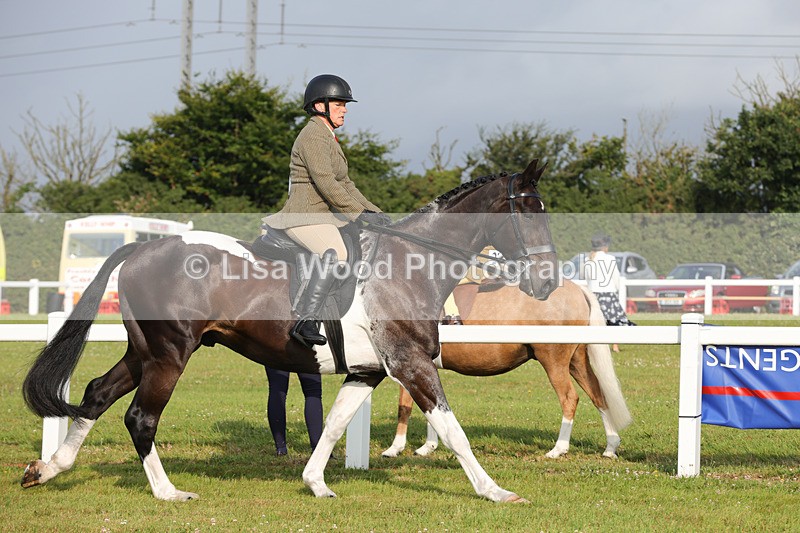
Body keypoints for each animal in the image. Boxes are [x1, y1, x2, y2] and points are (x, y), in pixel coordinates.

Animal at [20, 159, 558, 503]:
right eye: (530, 213)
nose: (549, 282)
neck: (409, 264)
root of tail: (142, 248)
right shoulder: (410, 364)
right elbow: (453, 430)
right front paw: (494, 491)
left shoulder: (367, 371)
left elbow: (334, 426)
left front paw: (315, 483)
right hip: (170, 355)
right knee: (140, 417)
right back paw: (169, 492)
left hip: (145, 352)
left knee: (96, 393)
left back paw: (47, 469)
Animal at [380, 281, 632, 460]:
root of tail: (577, 289)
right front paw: (428, 447)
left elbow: (405, 406)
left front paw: (395, 448)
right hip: (576, 361)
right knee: (597, 394)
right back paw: (610, 446)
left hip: (554, 362)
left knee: (569, 398)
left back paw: (558, 449)